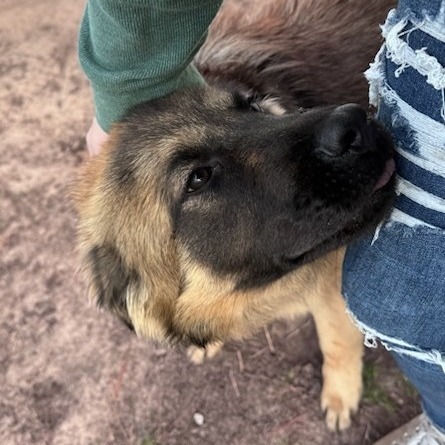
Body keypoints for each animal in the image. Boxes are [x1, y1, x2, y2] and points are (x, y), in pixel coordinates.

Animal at [74, 0, 394, 432]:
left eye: (253, 106)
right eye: (198, 178)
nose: (355, 123)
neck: (254, 290)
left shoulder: (333, 286)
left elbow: (337, 341)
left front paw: (341, 393)